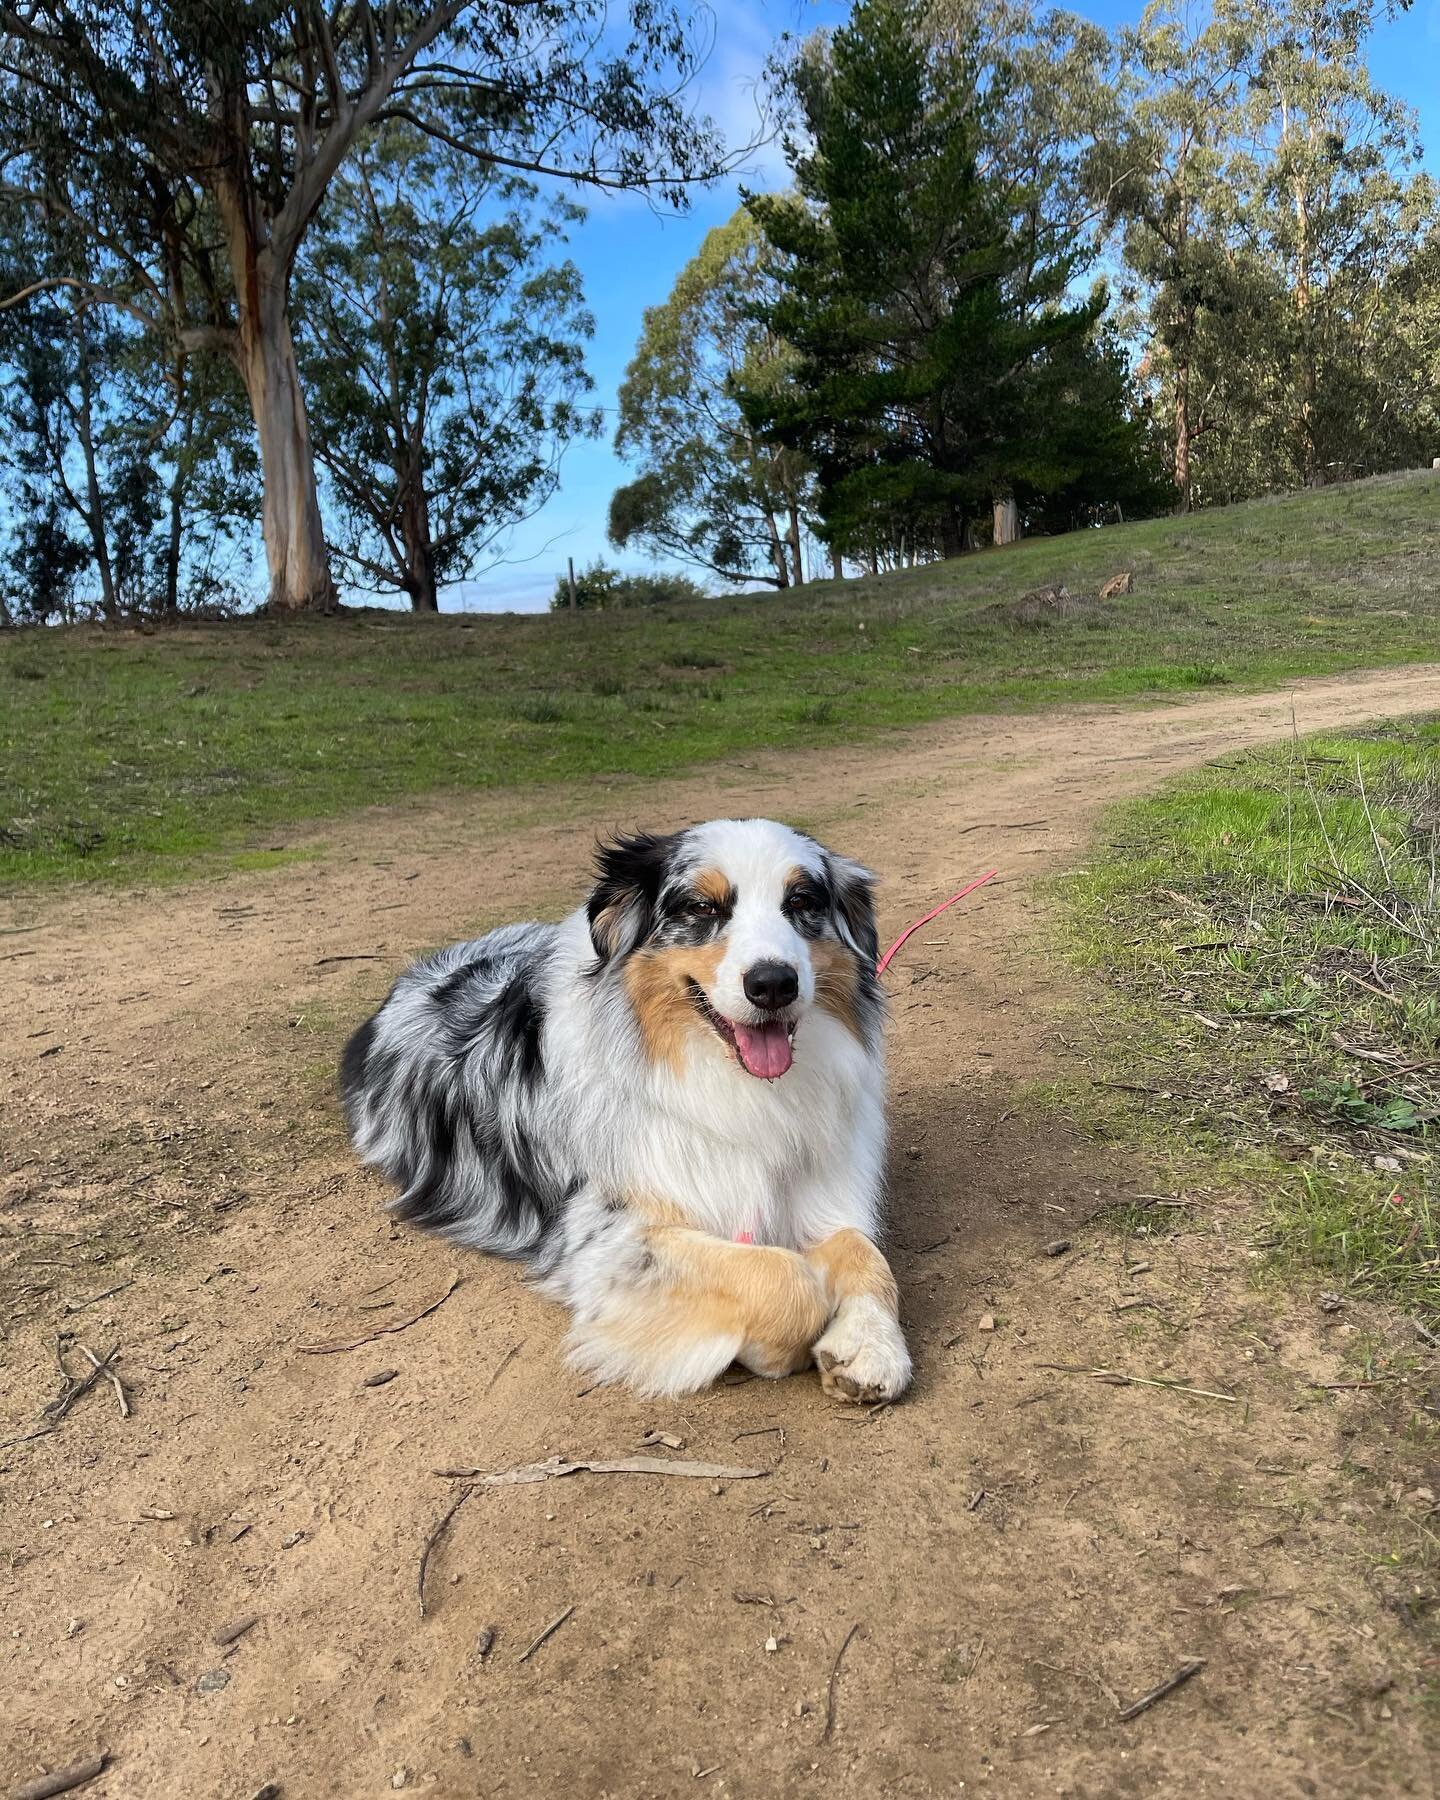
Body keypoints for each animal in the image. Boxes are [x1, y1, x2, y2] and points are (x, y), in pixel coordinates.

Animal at [340, 820, 910, 1404]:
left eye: (800, 901)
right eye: (701, 907)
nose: (773, 983)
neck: (736, 1086)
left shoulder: (820, 1189)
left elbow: (864, 1252)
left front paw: (870, 1344)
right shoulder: (604, 1242)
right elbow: (787, 1280)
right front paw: (766, 1350)